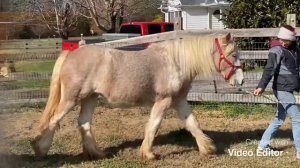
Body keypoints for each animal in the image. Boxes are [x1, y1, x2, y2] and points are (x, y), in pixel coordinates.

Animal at [31, 32, 245, 160]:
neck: (175, 62)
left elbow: (193, 124)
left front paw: (207, 149)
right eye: (234, 55)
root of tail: (71, 54)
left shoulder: (179, 100)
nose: (241, 81)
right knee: (53, 121)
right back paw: (40, 149)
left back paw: (97, 153)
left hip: (89, 98)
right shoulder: (164, 100)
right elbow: (154, 125)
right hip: (71, 99)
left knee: (83, 123)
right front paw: (148, 154)